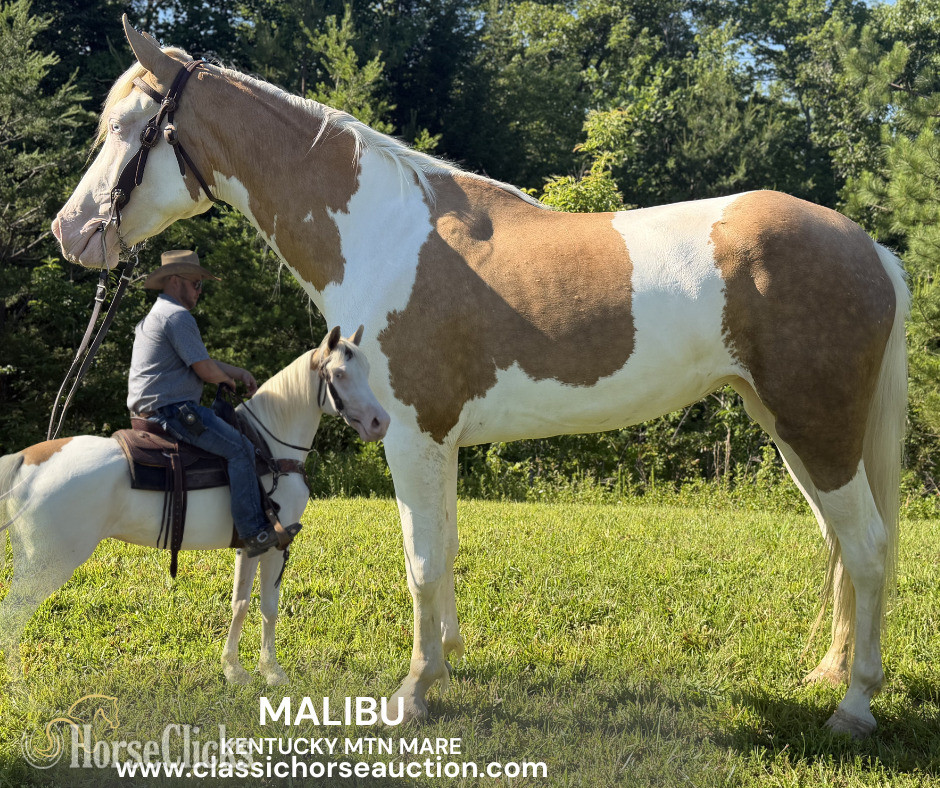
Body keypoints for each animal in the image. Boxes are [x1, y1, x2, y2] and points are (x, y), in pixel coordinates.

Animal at [0, 325, 390, 685]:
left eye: (367, 369)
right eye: (339, 374)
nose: (380, 422)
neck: (269, 448)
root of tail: (26, 458)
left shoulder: (249, 546)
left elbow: (240, 603)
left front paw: (234, 669)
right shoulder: (276, 545)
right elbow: (268, 607)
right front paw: (272, 671)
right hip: (48, 564)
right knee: (12, 617)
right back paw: (18, 682)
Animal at [50, 17, 910, 737]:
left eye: (131, 130)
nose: (69, 231)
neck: (385, 238)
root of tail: (870, 248)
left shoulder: (409, 436)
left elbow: (421, 563)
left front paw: (413, 692)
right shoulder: (444, 442)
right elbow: (448, 551)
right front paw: (449, 661)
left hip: (819, 432)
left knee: (868, 548)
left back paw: (855, 706)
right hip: (793, 435)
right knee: (841, 546)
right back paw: (829, 676)